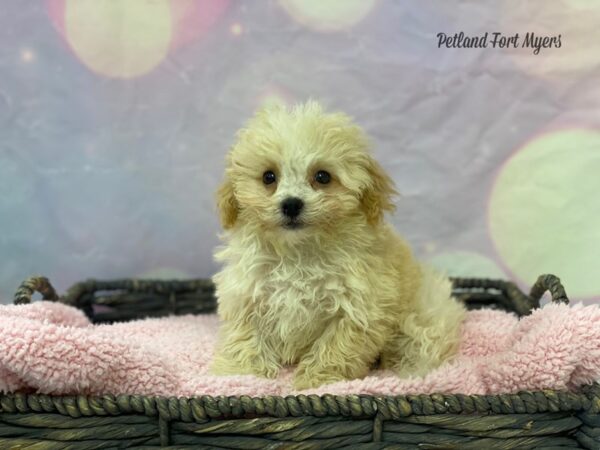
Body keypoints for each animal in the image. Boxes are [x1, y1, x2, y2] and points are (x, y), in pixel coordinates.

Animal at [211, 100, 468, 388]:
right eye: (268, 177)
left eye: (322, 176)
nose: (291, 204)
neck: (299, 251)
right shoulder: (246, 295)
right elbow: (244, 338)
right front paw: (238, 374)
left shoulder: (359, 307)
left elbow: (335, 348)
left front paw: (315, 381)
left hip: (424, 314)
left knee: (422, 345)